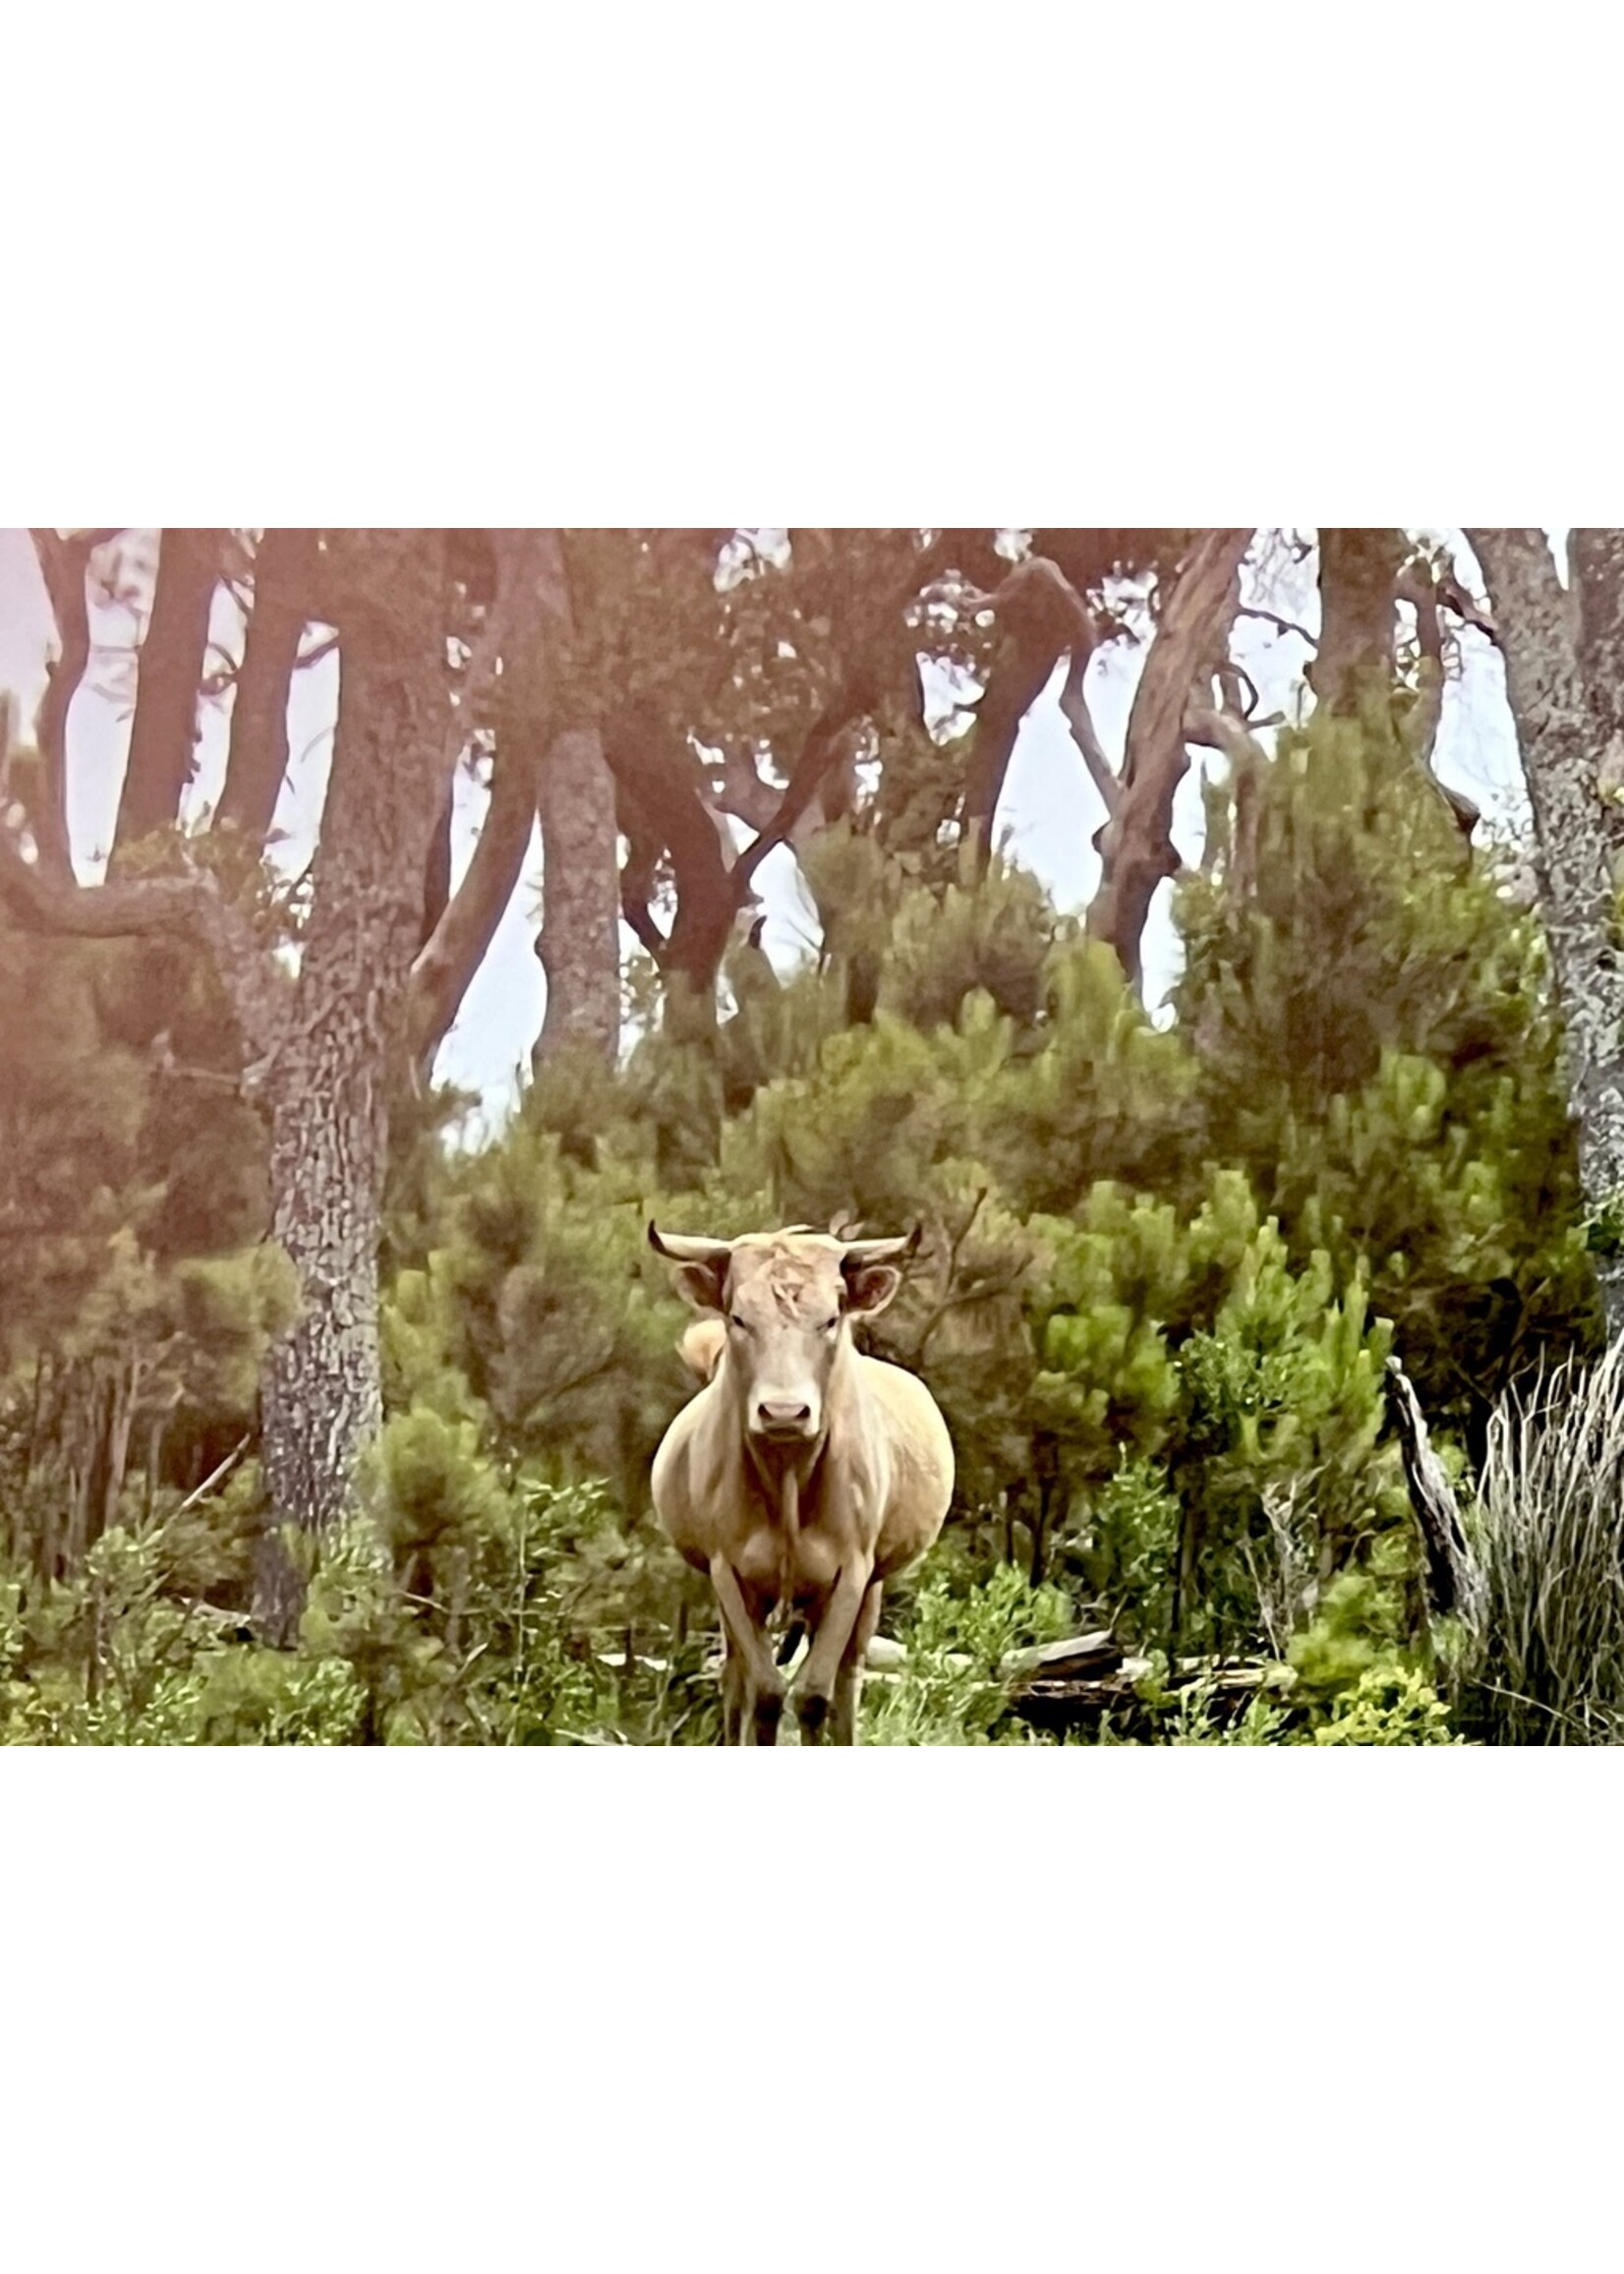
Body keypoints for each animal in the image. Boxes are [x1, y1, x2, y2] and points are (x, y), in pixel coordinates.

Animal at [648, 1222, 954, 1745]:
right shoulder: (727, 1571)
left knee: (848, 1678)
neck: (788, 1475)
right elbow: (766, 1691)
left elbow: (813, 1694)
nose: (784, 1412)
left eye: (830, 1320)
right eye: (739, 1318)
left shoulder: (851, 1572)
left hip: (866, 1589)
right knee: (735, 1677)